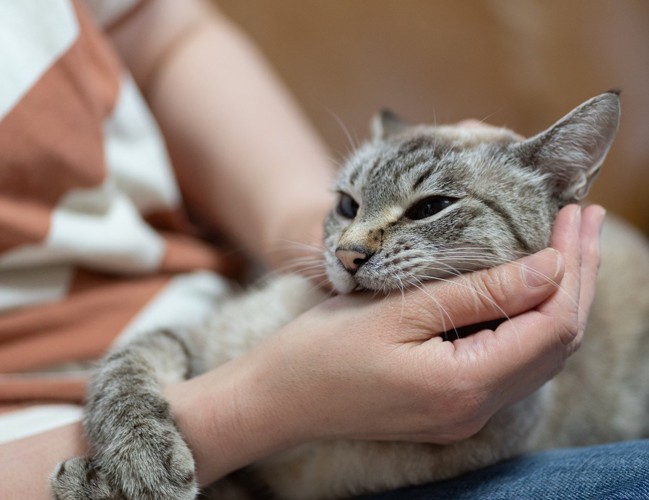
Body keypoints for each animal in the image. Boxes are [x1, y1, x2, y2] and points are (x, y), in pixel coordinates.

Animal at [49, 91, 648, 500]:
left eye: (431, 208)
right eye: (346, 204)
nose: (347, 255)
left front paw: (99, 483)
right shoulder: (184, 340)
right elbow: (119, 377)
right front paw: (140, 465)